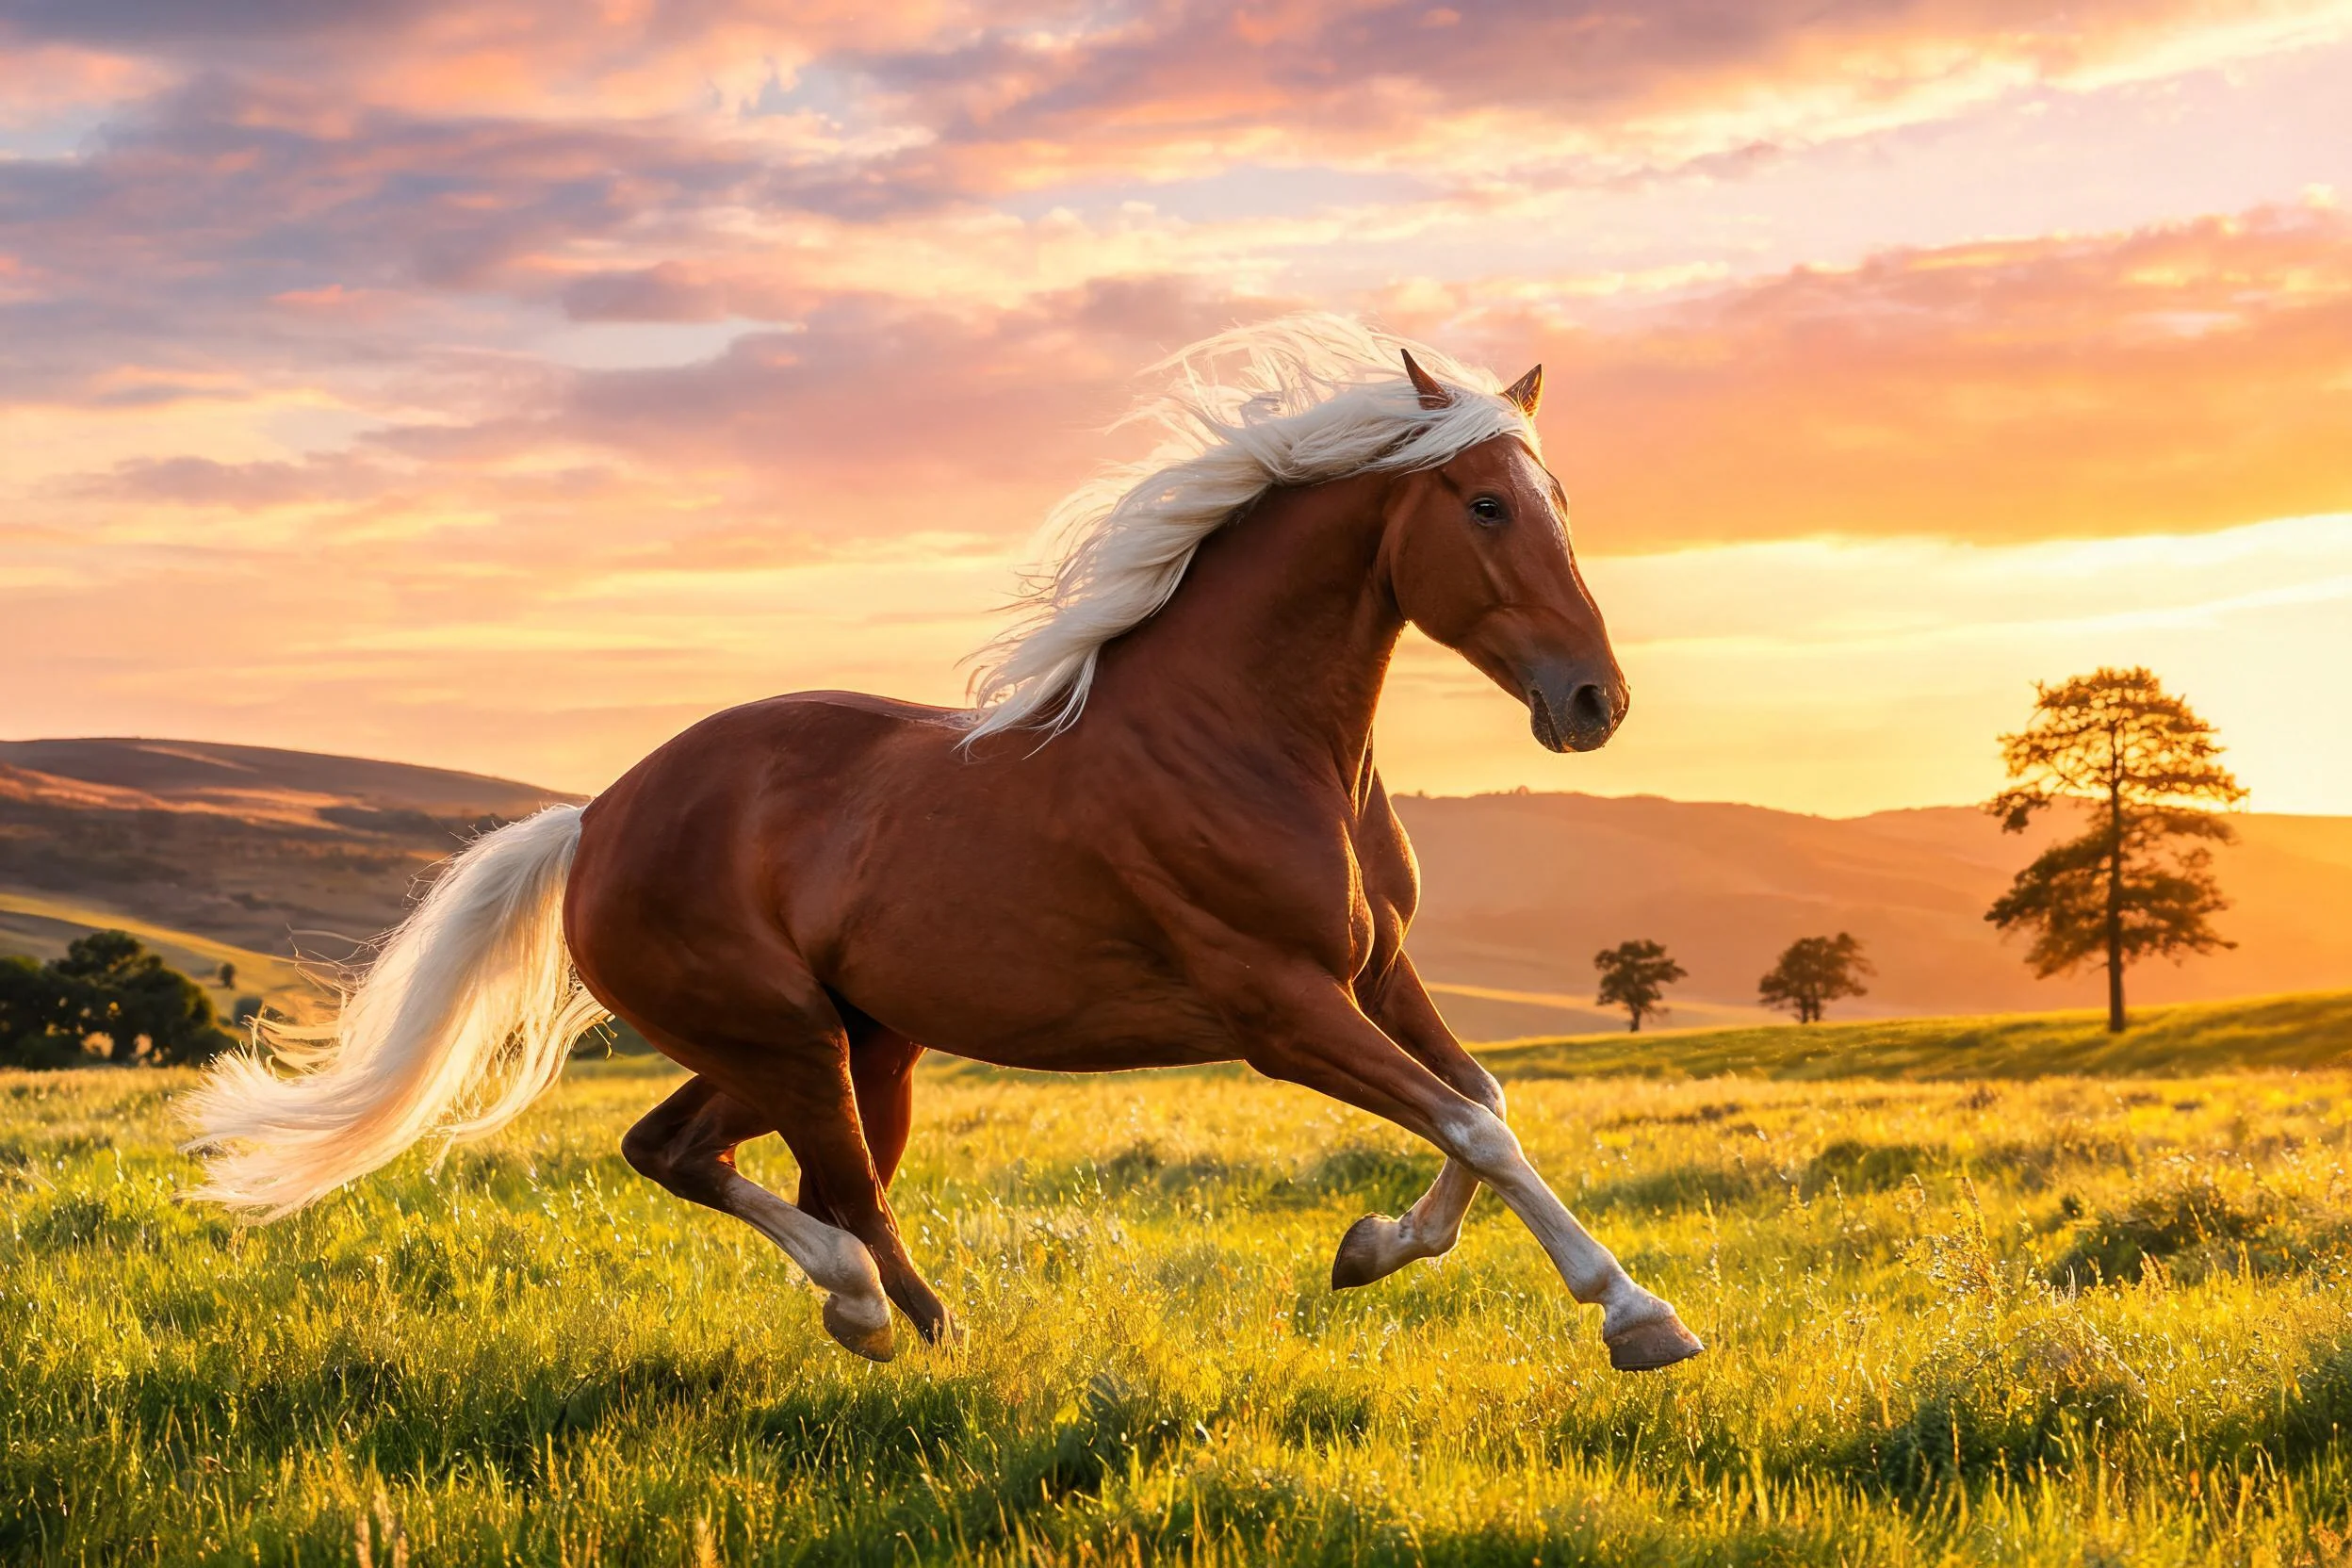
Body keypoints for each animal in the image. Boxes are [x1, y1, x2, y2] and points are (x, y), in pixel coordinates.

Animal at [185, 315, 1704, 1374]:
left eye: (1563, 503)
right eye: (1488, 506)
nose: (1596, 703)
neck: (1248, 739)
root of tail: (596, 816)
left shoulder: (1378, 974)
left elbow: (1483, 1105)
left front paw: (1375, 1247)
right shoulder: (1279, 1007)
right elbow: (1473, 1120)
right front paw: (1638, 1315)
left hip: (849, 1044)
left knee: (684, 1152)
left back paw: (884, 1321)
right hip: (792, 1041)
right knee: (837, 1194)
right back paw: (888, 1321)